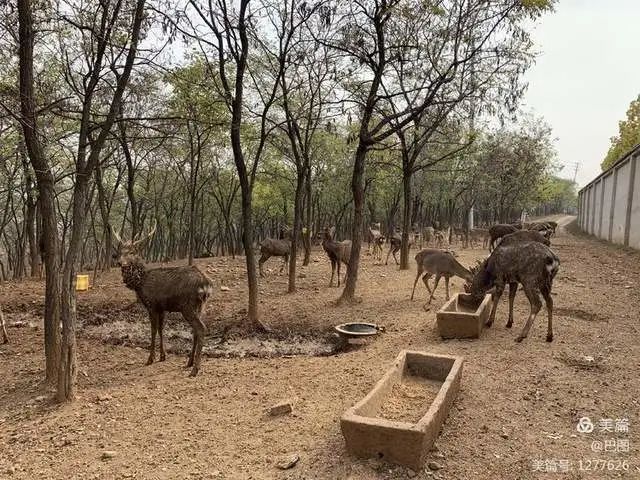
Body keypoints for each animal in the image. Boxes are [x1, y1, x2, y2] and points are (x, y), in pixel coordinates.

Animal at [114, 223, 214, 376]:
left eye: (131, 252)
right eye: (120, 251)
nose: (120, 263)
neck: (141, 283)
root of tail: (206, 284)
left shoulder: (152, 305)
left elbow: (153, 330)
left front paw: (150, 359)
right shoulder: (162, 308)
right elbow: (161, 329)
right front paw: (162, 356)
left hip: (188, 306)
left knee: (201, 328)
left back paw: (195, 369)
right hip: (201, 306)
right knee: (196, 331)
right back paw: (189, 362)